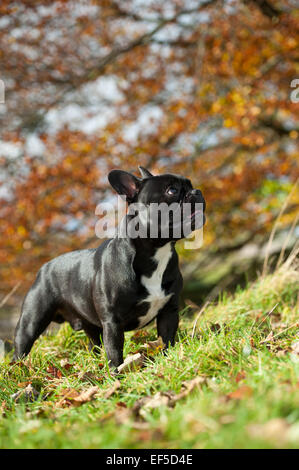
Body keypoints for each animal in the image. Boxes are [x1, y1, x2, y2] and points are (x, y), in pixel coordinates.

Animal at [14, 167, 206, 370]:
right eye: (172, 190)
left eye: (191, 185)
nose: (197, 192)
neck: (156, 251)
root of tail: (43, 268)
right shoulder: (112, 322)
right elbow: (114, 351)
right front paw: (117, 372)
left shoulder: (169, 311)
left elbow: (166, 339)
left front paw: (168, 359)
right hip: (31, 322)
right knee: (22, 345)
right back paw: (18, 368)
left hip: (90, 325)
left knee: (94, 343)